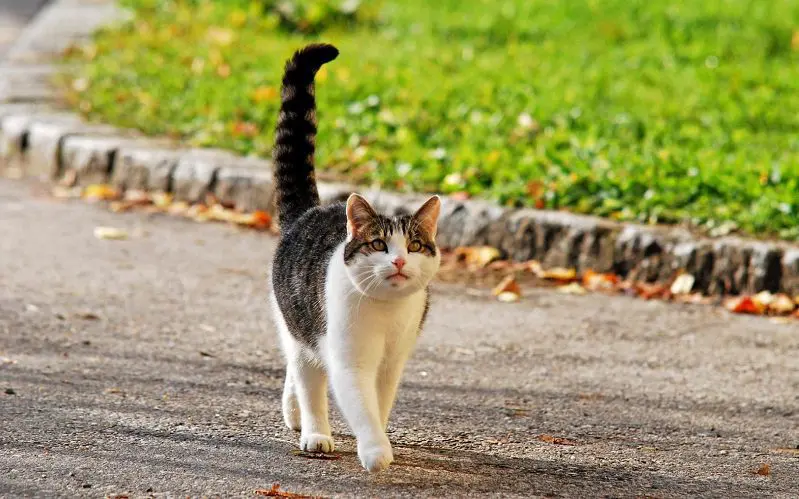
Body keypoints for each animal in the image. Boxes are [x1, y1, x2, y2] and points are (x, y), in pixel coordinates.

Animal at [268, 43, 444, 472]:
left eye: (414, 247)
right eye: (379, 245)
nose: (399, 262)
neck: (386, 312)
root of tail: (310, 211)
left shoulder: (392, 363)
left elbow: (379, 403)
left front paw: (381, 435)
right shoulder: (350, 360)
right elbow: (361, 407)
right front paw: (376, 451)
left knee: (296, 370)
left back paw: (294, 414)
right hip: (302, 324)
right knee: (308, 377)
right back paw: (314, 433)